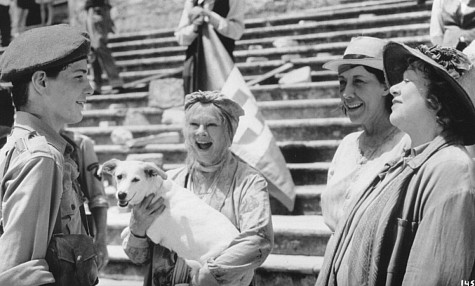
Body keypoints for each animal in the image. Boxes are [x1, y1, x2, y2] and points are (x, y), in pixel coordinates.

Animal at [102, 159, 240, 272]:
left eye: (136, 179)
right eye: (119, 176)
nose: (121, 195)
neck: (156, 190)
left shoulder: (153, 232)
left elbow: (127, 229)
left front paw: (125, 232)